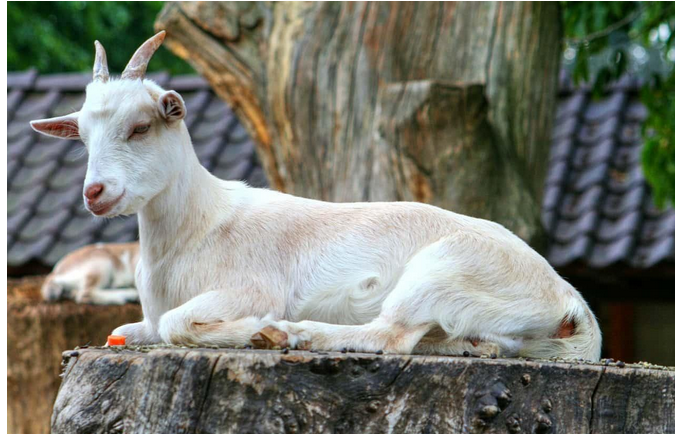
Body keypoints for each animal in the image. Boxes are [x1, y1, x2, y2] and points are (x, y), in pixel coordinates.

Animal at [30, 33, 604, 360]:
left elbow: (178, 325)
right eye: (81, 137)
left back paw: (289, 334)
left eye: (141, 127)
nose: (95, 192)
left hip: (444, 270)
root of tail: (571, 301)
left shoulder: (249, 286)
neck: (199, 225)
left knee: (390, 335)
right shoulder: (145, 318)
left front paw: (255, 328)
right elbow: (124, 331)